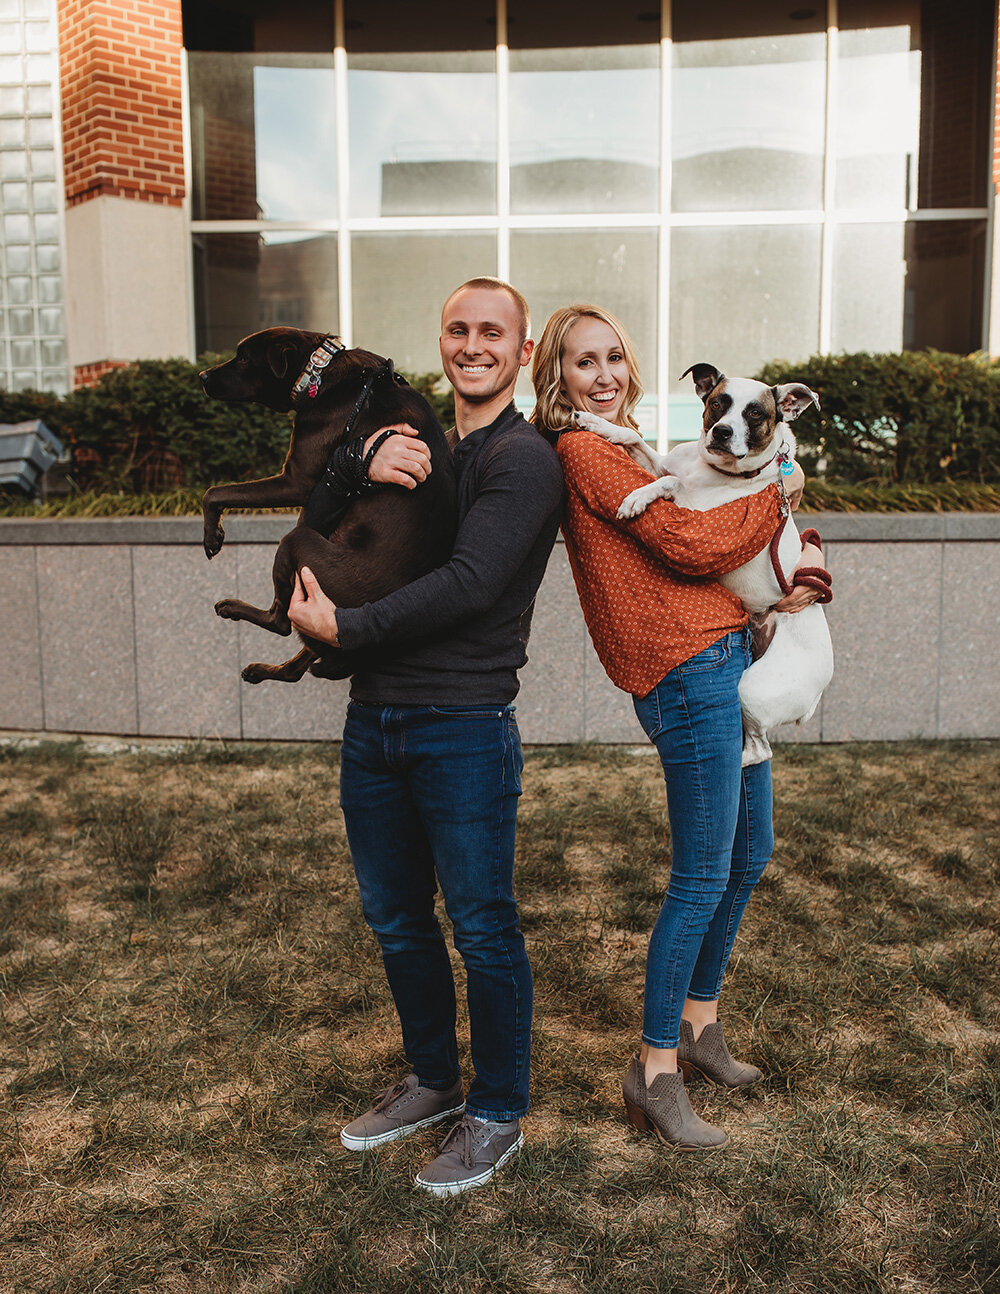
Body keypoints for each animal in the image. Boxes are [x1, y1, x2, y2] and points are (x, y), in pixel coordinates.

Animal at [200, 328, 455, 683]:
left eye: (244, 358)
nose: (201, 376)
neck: (319, 372)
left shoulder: (296, 481)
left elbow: (215, 492)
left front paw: (212, 535)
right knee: (301, 662)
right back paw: (263, 670)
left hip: (297, 542)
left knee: (281, 622)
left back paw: (234, 609)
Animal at [569, 362, 833, 766]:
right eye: (717, 403)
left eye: (755, 413)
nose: (722, 431)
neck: (713, 469)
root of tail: (819, 693)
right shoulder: (664, 464)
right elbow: (635, 441)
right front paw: (598, 424)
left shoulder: (698, 519)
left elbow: (672, 484)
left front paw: (636, 498)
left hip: (751, 691)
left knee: (760, 751)